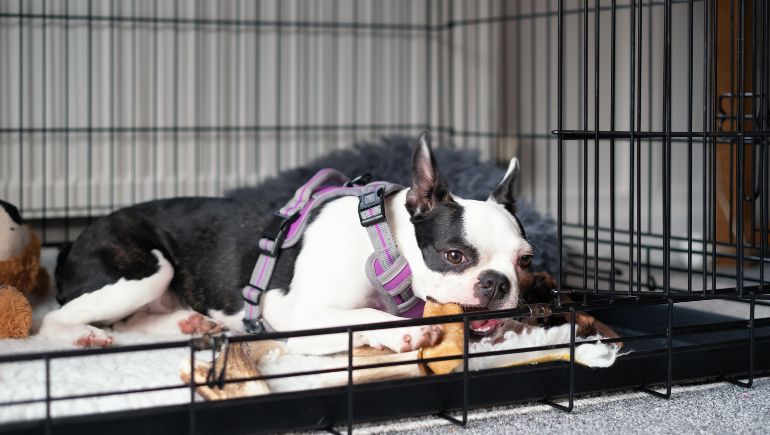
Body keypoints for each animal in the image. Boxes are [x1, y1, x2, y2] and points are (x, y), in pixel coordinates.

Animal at [39, 133, 536, 354]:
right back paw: (83, 333)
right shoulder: (296, 313)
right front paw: (404, 330)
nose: (496, 284)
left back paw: (191, 324)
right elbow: (363, 317)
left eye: (525, 262)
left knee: (130, 322)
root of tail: (71, 244)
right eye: (454, 255)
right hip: (145, 269)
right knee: (55, 320)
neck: (384, 245)